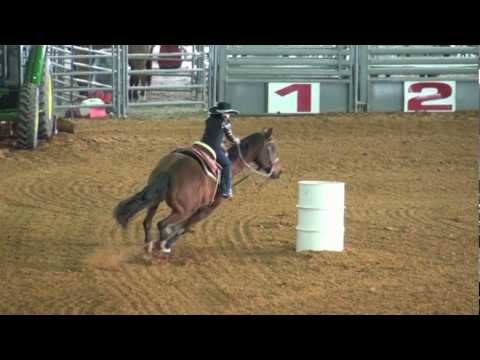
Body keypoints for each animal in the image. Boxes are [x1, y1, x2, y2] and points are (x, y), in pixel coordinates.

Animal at [113, 128, 282, 255]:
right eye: (272, 149)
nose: (278, 172)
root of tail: (169, 171)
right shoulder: (207, 208)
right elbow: (186, 226)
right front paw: (168, 243)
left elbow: (182, 227)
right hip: (184, 210)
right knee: (162, 224)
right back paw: (161, 246)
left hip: (155, 200)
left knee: (147, 221)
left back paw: (149, 245)